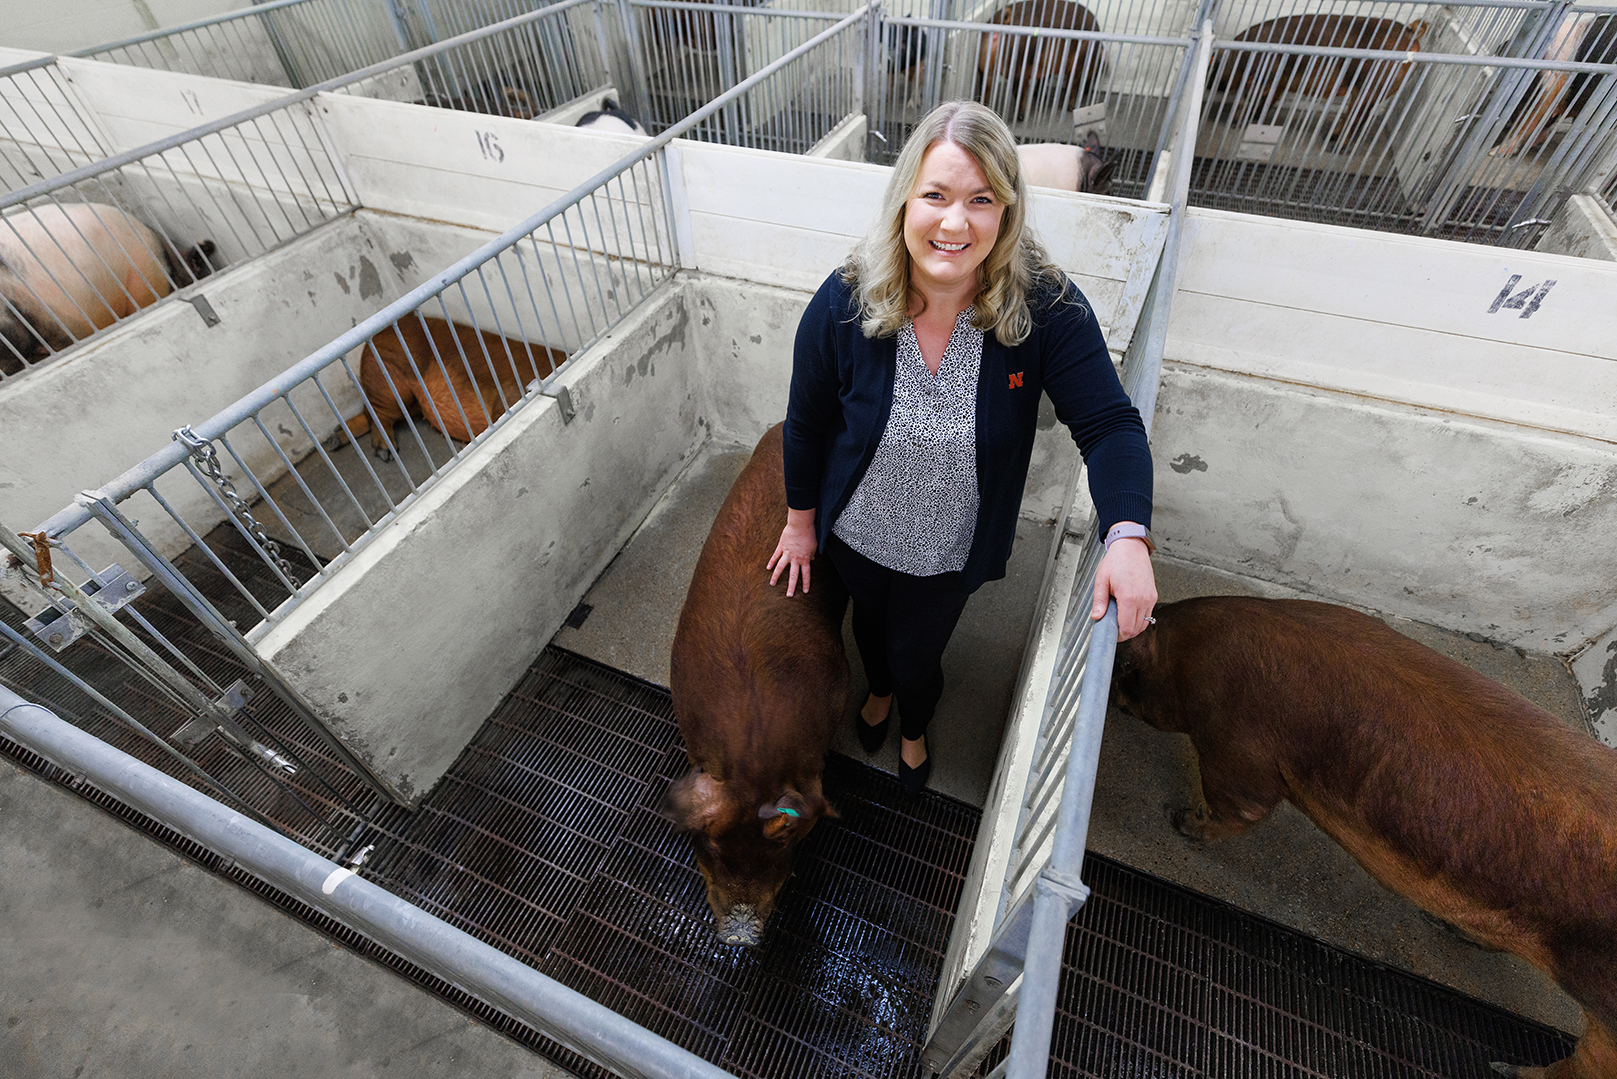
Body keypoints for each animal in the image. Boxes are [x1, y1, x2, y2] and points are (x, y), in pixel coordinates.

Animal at [1112, 598, 1617, 1079]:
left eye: (1126, 670)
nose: (1115, 701)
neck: (1187, 655)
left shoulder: (1237, 749)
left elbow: (1242, 809)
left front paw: (1180, 821)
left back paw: (1502, 1068)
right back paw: (1446, 930)